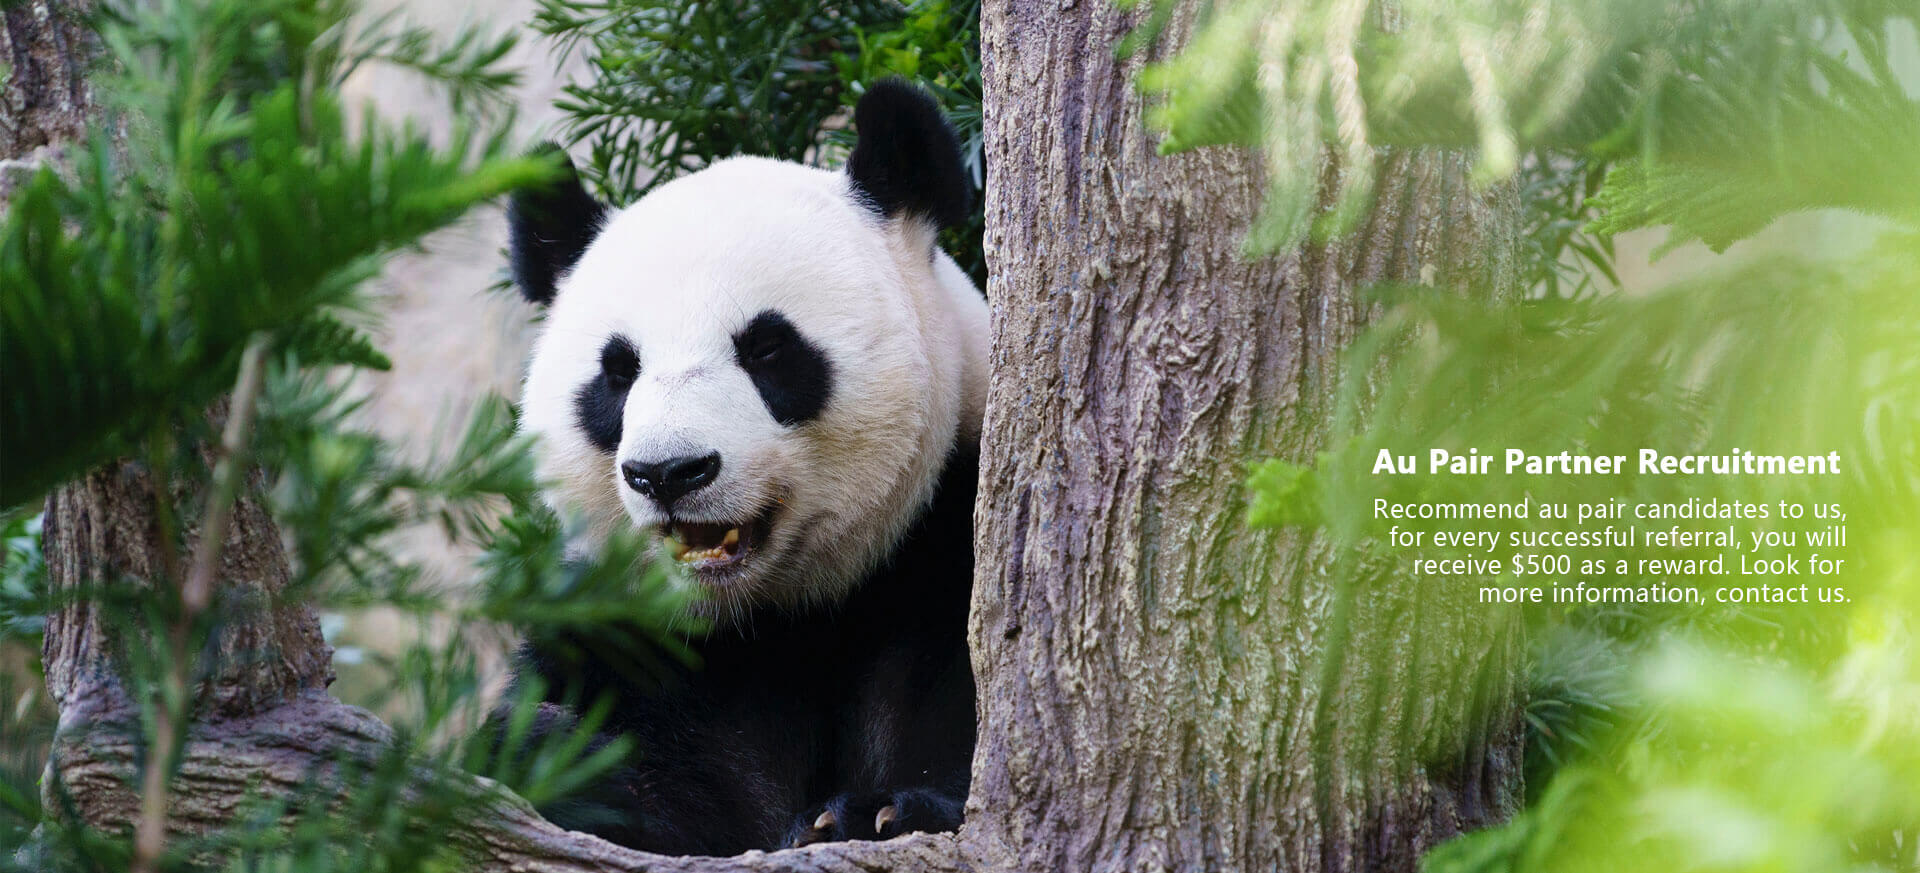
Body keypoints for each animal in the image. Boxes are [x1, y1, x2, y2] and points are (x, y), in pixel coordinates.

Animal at [500, 80, 987, 856]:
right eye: (617, 371)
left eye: (767, 348)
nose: (669, 472)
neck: (775, 613)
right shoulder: (637, 635)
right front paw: (564, 762)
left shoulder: (945, 539)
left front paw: (872, 810)